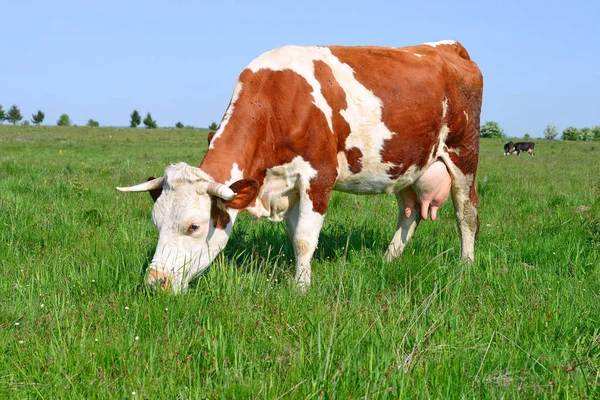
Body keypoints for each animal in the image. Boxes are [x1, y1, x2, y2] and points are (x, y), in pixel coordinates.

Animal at [119, 39, 486, 294]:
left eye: (194, 226)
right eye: (155, 223)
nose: (155, 283)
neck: (276, 102)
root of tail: (447, 46)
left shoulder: (318, 176)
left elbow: (304, 239)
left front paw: (301, 289)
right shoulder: (287, 185)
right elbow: (293, 234)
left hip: (464, 152)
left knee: (466, 213)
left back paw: (466, 266)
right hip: (406, 164)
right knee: (409, 212)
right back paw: (387, 260)